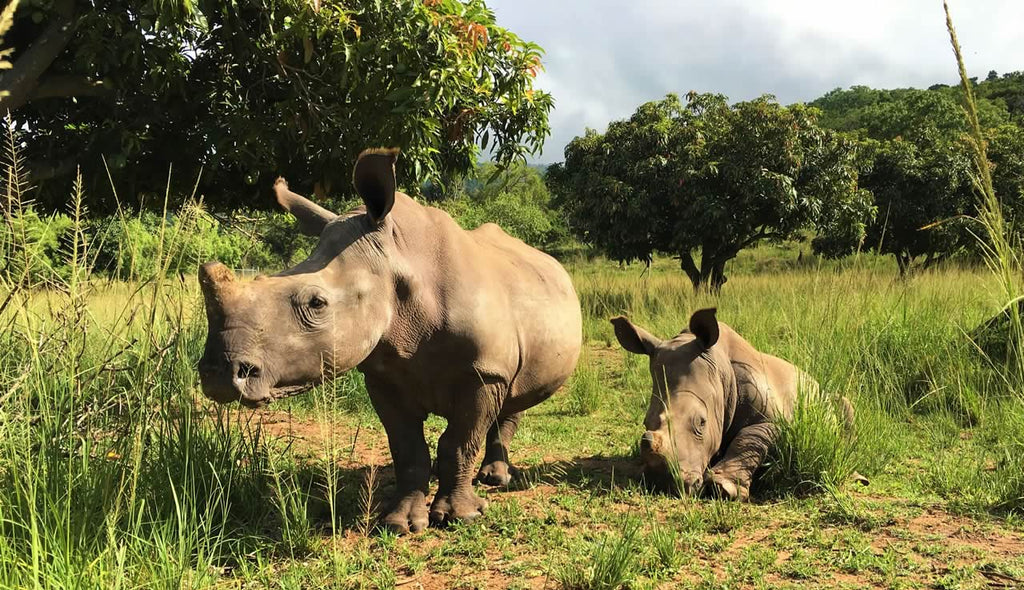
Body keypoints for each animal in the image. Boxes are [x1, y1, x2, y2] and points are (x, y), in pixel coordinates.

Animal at [198, 149, 582, 532]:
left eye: (316, 303)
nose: (219, 374)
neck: (403, 264)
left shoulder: (483, 372)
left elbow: (459, 444)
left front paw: (461, 517)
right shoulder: (382, 373)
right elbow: (406, 447)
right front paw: (402, 523)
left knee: (516, 394)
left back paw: (494, 480)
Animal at [611, 308, 853, 501]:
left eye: (701, 423)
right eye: (645, 421)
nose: (662, 483)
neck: (720, 369)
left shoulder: (776, 418)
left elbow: (749, 438)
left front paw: (724, 489)